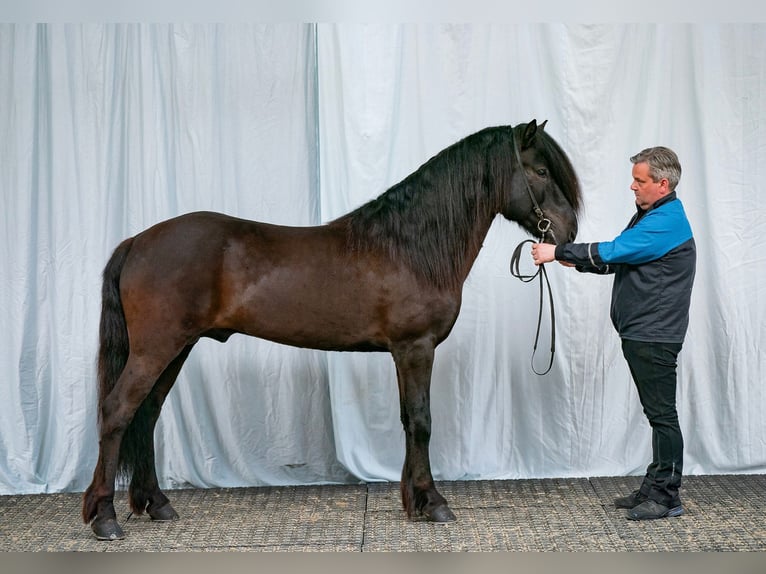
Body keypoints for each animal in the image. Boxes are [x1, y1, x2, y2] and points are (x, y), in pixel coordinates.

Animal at [82, 120, 581, 540]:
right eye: (540, 170)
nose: (568, 233)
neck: (409, 248)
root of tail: (137, 241)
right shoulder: (416, 348)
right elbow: (422, 422)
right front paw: (434, 503)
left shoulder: (402, 353)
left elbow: (407, 420)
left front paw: (414, 501)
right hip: (156, 348)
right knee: (117, 411)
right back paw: (105, 517)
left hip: (175, 348)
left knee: (146, 416)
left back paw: (158, 504)